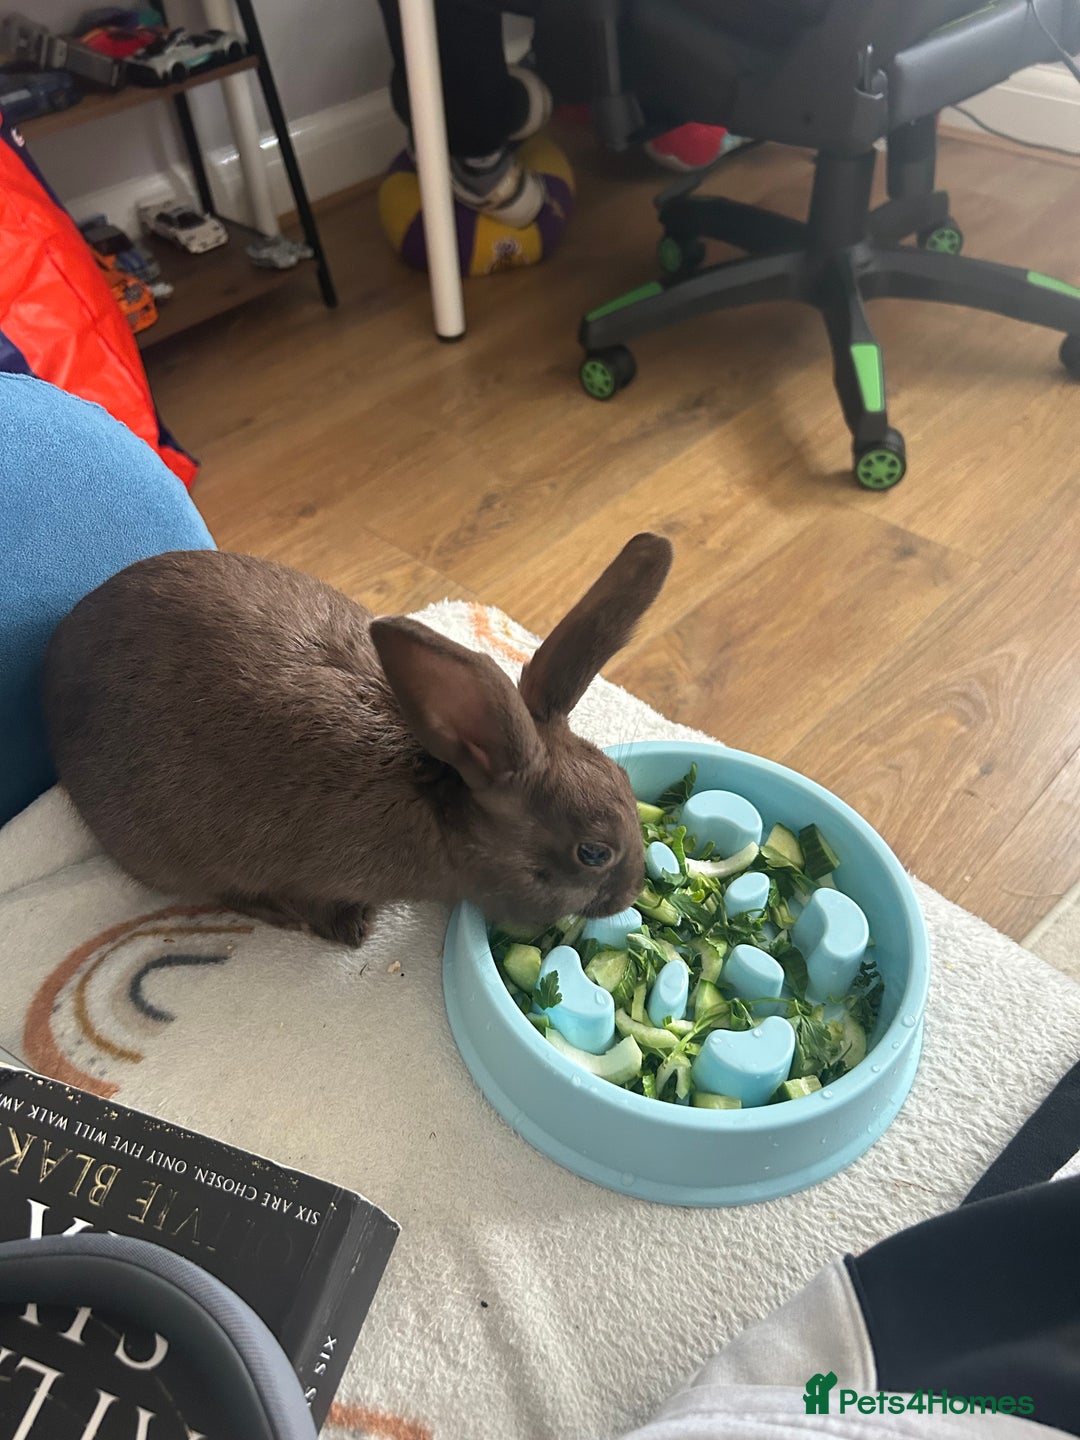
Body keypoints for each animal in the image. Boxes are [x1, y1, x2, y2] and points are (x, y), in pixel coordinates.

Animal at [42, 533, 673, 947]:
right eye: (593, 853)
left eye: (624, 780)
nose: (632, 892)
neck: (439, 805)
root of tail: (47, 676)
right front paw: (349, 928)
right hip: (170, 853)